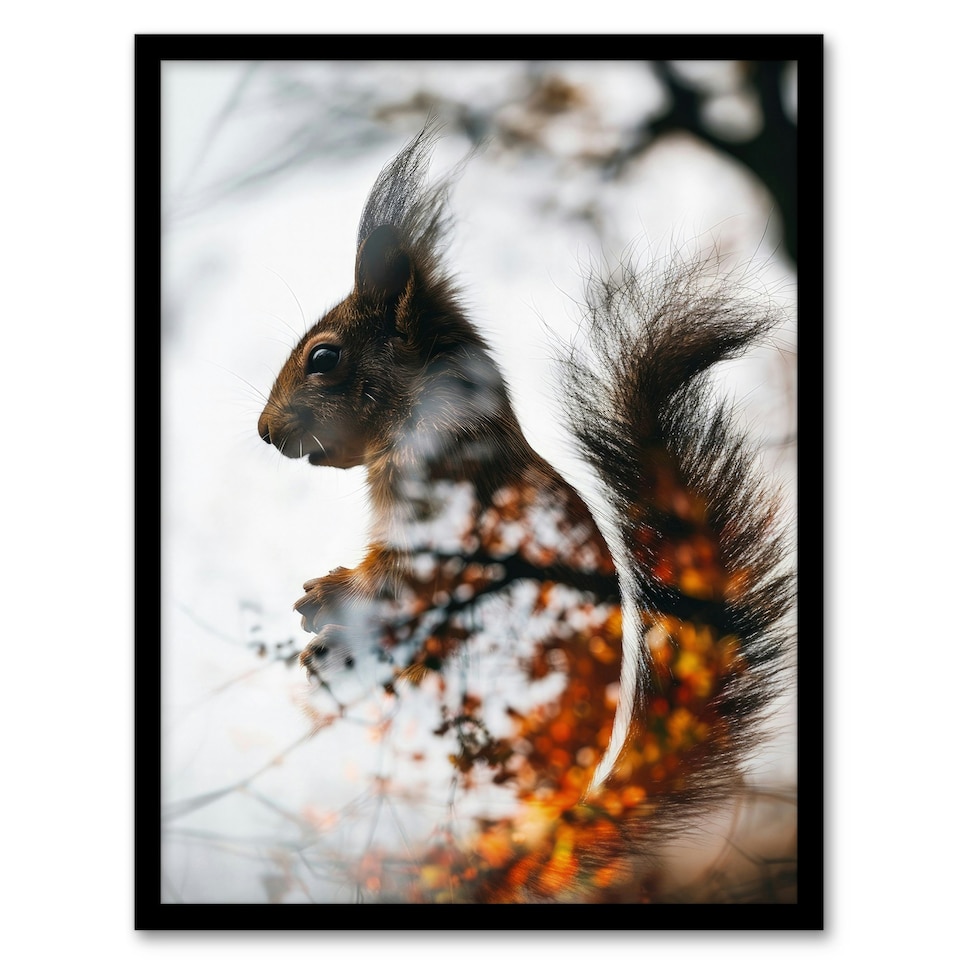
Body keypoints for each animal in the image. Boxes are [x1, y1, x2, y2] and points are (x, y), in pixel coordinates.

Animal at [256, 124, 795, 903]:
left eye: (323, 359)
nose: (266, 431)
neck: (429, 418)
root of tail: (550, 830)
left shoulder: (451, 509)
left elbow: (402, 580)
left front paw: (327, 597)